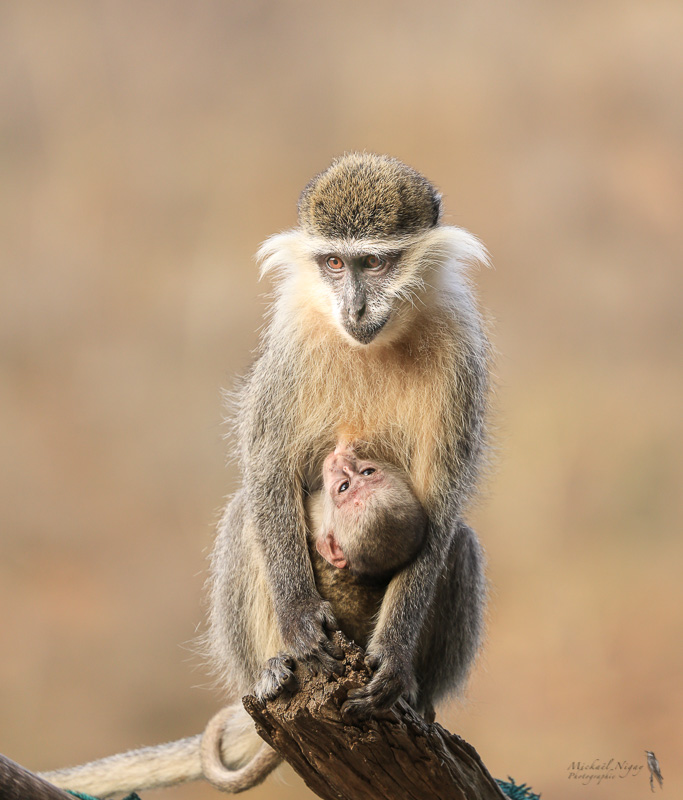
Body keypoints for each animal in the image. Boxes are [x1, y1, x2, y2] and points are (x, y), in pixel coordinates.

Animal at [41, 153, 491, 796]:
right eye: (334, 263)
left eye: (376, 262)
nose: (354, 309)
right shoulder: (290, 342)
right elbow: (270, 465)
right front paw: (301, 621)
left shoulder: (461, 352)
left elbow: (440, 508)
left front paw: (394, 659)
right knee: (246, 515)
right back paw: (272, 667)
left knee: (460, 543)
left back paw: (416, 698)